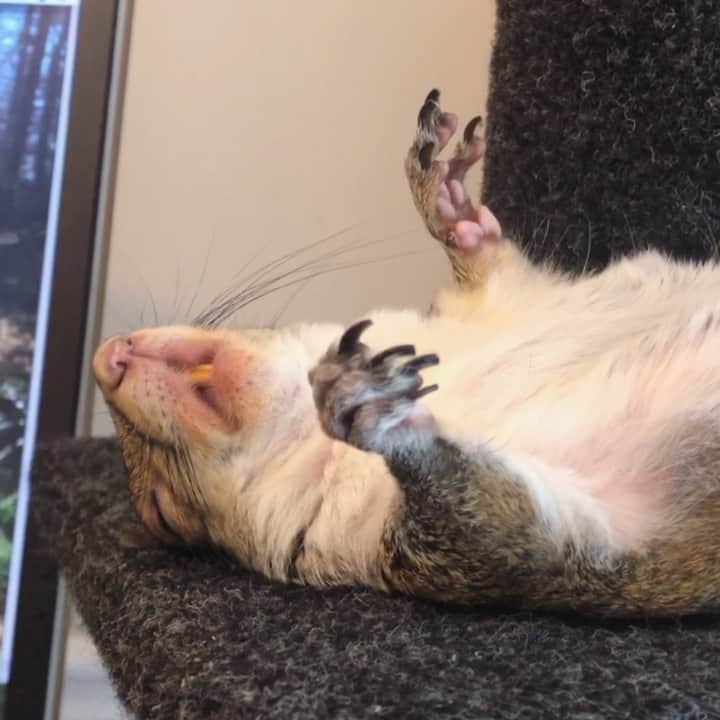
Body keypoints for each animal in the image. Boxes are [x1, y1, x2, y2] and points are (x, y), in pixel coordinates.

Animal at [93, 90, 720, 616]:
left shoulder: (501, 298)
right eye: (163, 515)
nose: (107, 358)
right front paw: (368, 413)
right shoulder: (454, 559)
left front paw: (445, 197)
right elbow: (492, 525)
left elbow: (488, 261)